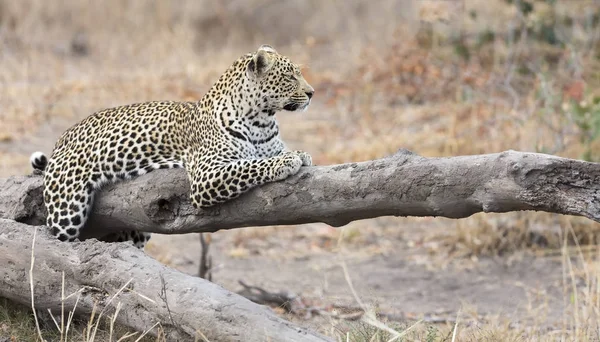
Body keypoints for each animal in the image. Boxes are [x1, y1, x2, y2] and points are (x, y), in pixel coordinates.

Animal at [29, 45, 314, 248]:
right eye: (290, 76)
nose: (312, 93)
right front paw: (286, 162)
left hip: (135, 230)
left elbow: (272, 154)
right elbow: (250, 165)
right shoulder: (206, 175)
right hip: (67, 209)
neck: (261, 120)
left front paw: (300, 154)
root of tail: (62, 138)